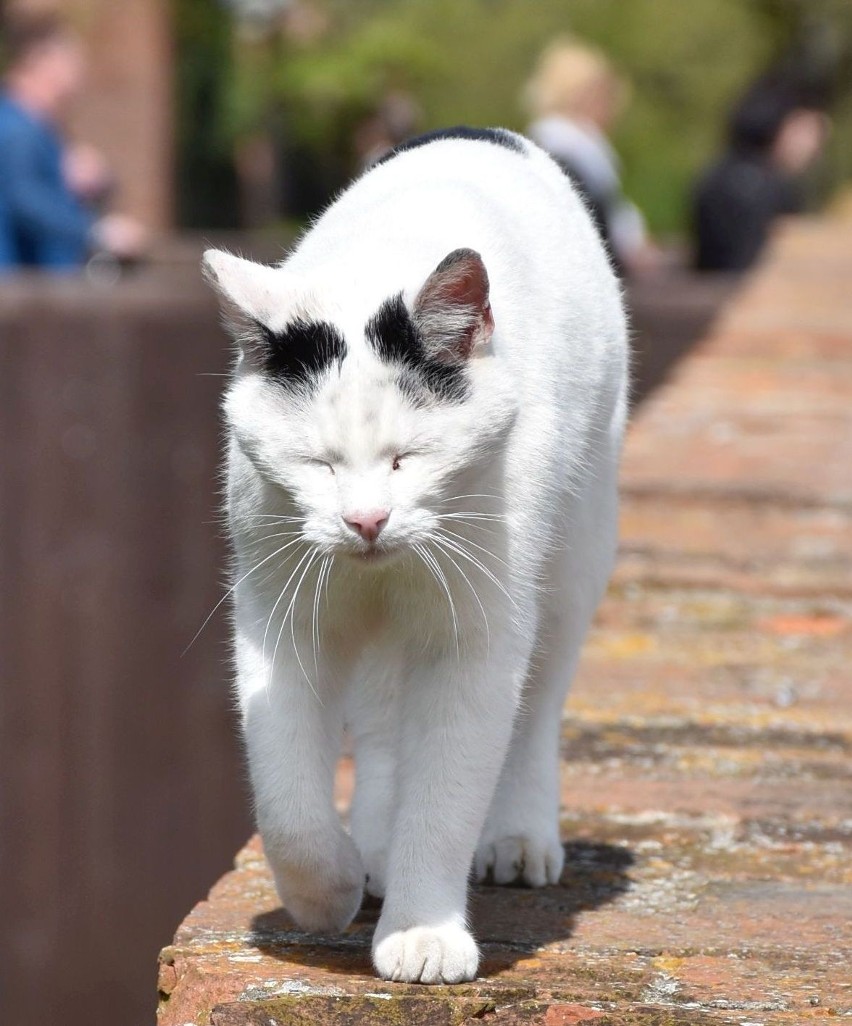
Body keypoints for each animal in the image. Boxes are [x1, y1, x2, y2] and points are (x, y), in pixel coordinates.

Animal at [200, 126, 628, 984]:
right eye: (318, 464)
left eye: (408, 458)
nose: (366, 520)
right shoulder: (277, 617)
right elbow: (286, 795)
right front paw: (324, 890)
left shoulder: (476, 639)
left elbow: (447, 792)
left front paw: (423, 930)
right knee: (381, 728)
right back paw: (369, 845)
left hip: (575, 559)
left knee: (538, 706)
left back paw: (518, 835)